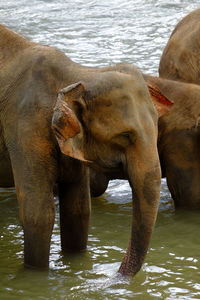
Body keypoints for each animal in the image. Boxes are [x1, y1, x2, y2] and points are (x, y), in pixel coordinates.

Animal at [0, 25, 162, 276]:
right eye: (126, 136)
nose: (116, 274)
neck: (77, 74)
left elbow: (79, 210)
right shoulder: (24, 127)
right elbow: (38, 215)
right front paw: (35, 275)